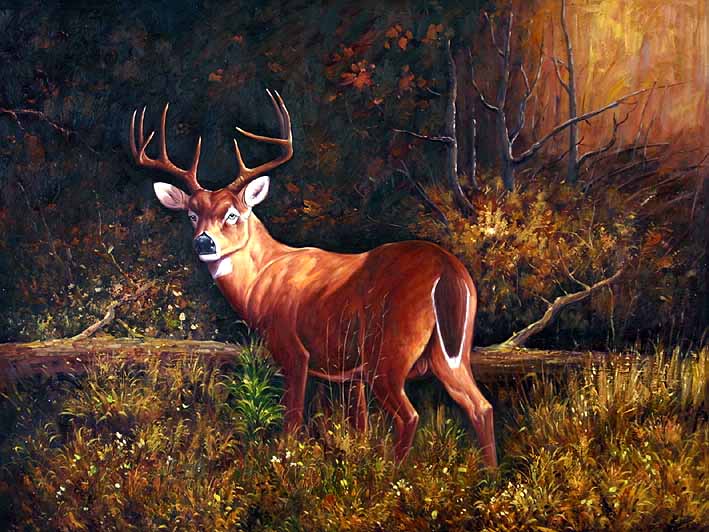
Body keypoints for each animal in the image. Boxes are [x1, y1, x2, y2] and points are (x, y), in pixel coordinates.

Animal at [129, 90, 497, 467]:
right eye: (191, 214)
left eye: (232, 214)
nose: (204, 242)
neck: (260, 281)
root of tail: (448, 269)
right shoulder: (351, 372)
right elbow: (359, 425)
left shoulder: (291, 347)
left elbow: (292, 418)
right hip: (451, 351)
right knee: (481, 406)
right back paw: (489, 474)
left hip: (391, 349)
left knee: (409, 416)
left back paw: (392, 474)